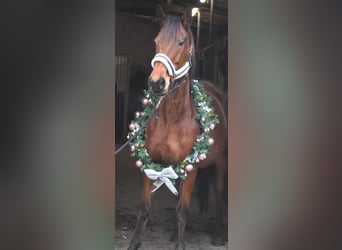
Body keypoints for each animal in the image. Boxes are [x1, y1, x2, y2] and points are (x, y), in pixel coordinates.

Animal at [128, 5, 227, 250]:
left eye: (181, 42)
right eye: (156, 41)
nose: (156, 83)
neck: (173, 117)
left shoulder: (191, 168)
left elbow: (183, 210)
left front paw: (181, 244)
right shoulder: (151, 163)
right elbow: (145, 208)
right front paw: (134, 243)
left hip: (220, 162)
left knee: (220, 194)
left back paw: (219, 234)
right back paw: (174, 233)